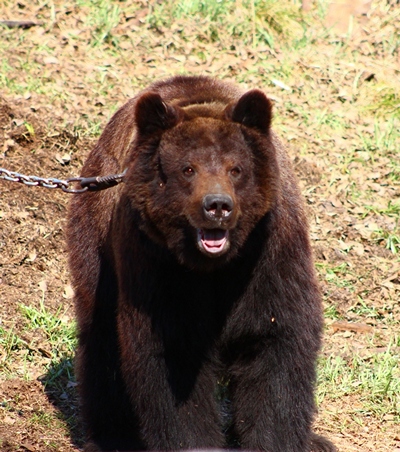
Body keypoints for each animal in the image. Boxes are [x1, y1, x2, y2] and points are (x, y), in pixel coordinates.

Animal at [67, 76, 336, 452]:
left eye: (235, 168)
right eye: (187, 169)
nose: (217, 205)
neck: (214, 267)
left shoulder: (268, 259)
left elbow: (275, 347)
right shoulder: (157, 266)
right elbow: (173, 361)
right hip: (98, 237)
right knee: (101, 338)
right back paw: (111, 437)